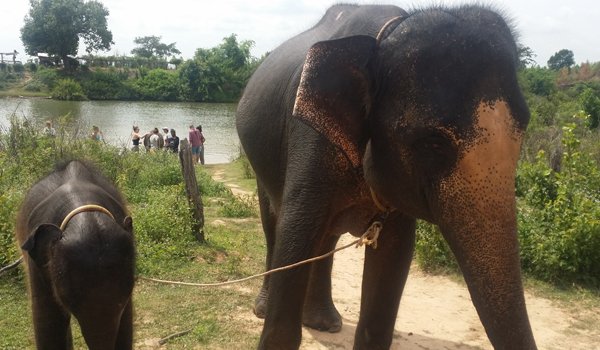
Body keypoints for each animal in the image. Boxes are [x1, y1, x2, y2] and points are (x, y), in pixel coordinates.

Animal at [237, 3, 536, 350]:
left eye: (523, 131)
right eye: (433, 143)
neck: (387, 34)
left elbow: (394, 253)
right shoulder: (310, 139)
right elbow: (295, 231)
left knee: (327, 237)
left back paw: (324, 323)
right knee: (274, 221)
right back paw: (267, 309)